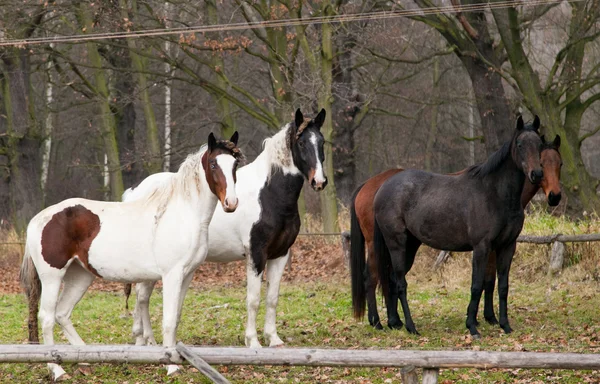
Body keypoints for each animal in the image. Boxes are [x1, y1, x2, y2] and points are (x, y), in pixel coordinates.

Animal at [19, 133, 243, 380]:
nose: (231, 203)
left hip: (80, 276)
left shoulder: (187, 276)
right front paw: (171, 366)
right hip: (52, 277)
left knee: (62, 314)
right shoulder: (171, 275)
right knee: (47, 318)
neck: (182, 214)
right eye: (213, 164)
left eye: (235, 164)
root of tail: (38, 219)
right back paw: (57, 370)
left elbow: (175, 318)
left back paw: (85, 359)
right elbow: (167, 320)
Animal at [122, 109, 328, 352]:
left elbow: (272, 298)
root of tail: (135, 191)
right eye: (302, 142)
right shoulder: (256, 254)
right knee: (142, 296)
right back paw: (144, 340)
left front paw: (274, 339)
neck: (269, 194)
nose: (319, 181)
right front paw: (253, 341)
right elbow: (253, 299)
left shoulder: (280, 254)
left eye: (322, 142)